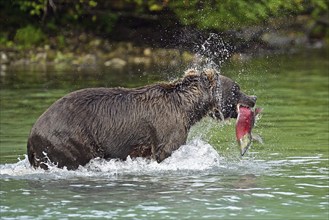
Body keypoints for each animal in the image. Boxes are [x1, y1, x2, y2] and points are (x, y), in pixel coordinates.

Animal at [26, 69, 256, 170]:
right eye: (236, 88)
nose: (253, 98)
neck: (186, 108)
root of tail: (31, 133)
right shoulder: (168, 127)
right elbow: (166, 151)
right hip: (68, 138)